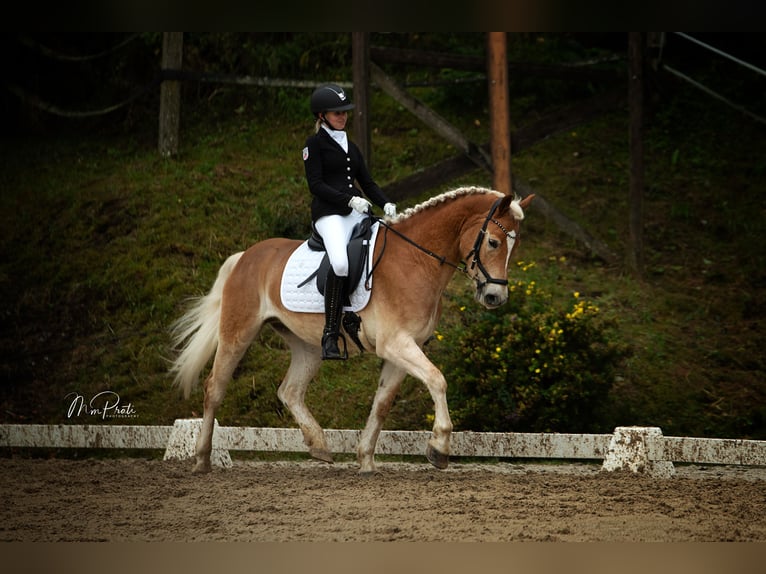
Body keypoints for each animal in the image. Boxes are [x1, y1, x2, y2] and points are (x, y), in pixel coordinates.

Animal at [171, 187, 536, 474]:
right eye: (493, 242)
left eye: (515, 246)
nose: (495, 297)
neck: (416, 260)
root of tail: (246, 255)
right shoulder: (396, 344)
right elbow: (438, 380)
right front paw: (439, 447)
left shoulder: (404, 350)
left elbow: (382, 404)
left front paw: (366, 460)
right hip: (238, 332)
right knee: (214, 388)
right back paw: (202, 459)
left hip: (307, 345)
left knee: (290, 391)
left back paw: (319, 444)